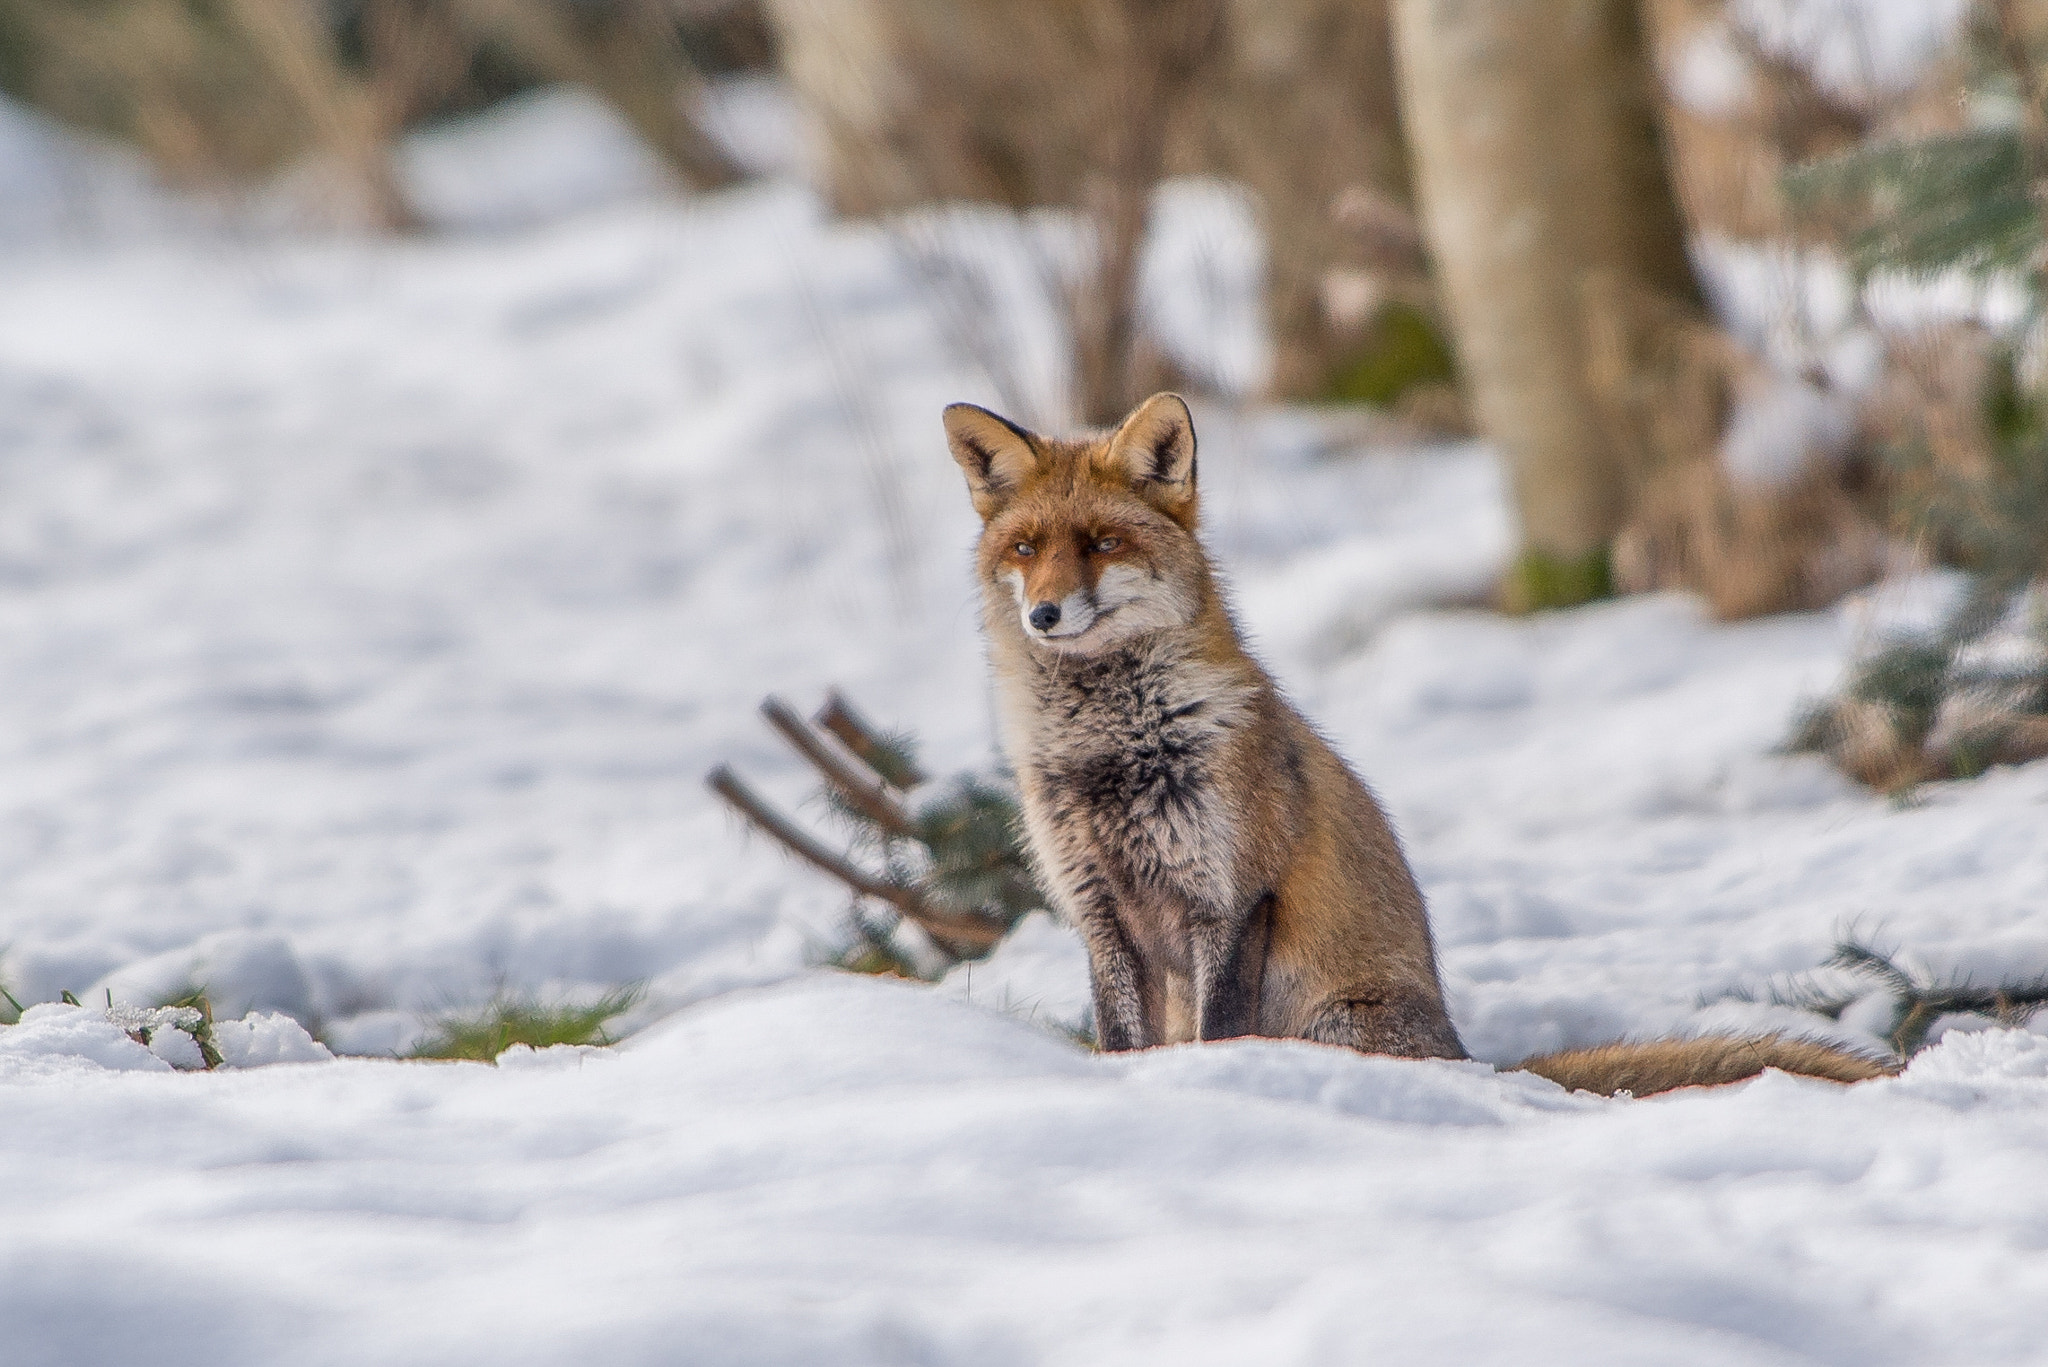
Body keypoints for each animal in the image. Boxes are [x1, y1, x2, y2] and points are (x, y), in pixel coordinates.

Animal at [942, 391, 1893, 1096]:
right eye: (1024, 548)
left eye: (1104, 543)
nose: (1044, 614)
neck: (1110, 750)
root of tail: (1469, 1058)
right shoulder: (1099, 911)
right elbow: (1120, 1040)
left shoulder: (1231, 895)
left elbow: (1218, 1034)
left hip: (1331, 1019)